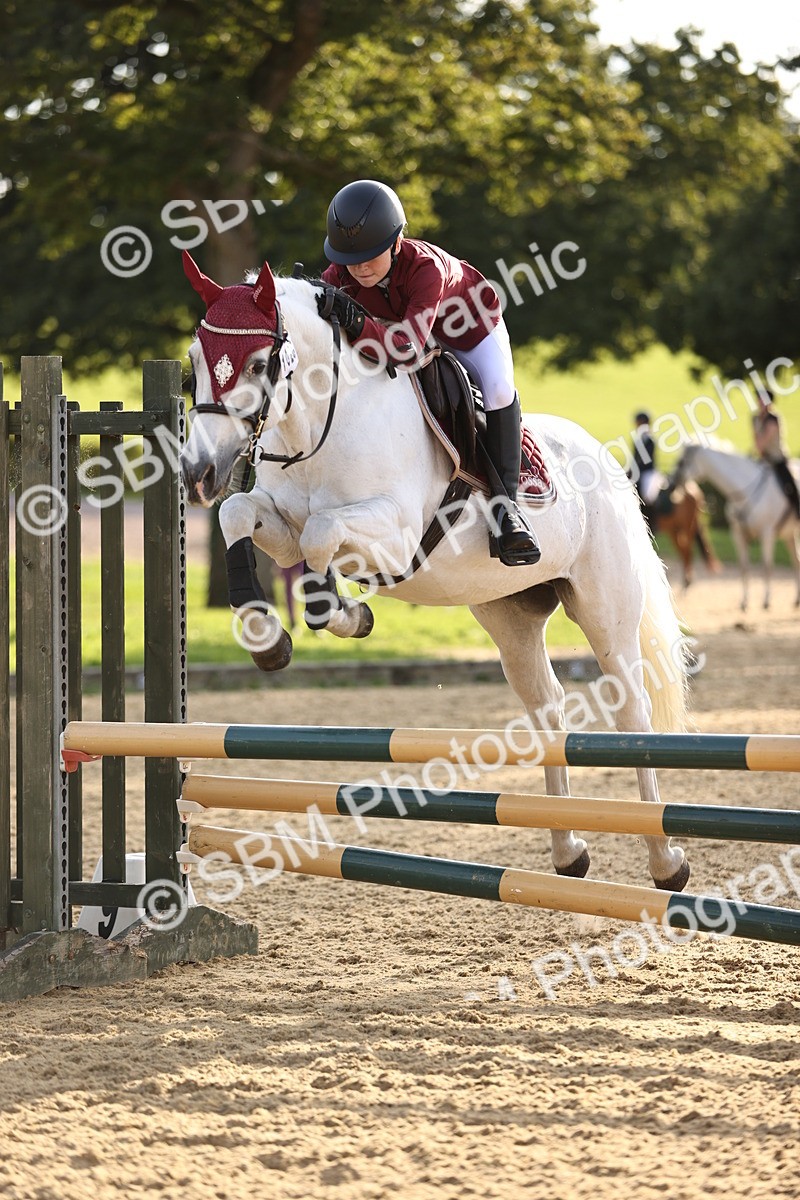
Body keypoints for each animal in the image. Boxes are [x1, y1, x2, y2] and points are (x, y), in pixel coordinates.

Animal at [178, 251, 692, 892]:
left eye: (255, 363)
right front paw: (271, 636)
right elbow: (239, 514)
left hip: (604, 608)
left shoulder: (393, 537)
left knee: (631, 708)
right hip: (509, 616)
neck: (322, 424)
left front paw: (338, 612)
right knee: (547, 707)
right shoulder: (281, 520)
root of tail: (608, 460)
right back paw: (568, 851)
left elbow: (323, 531)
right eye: (194, 361)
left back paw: (666, 862)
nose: (197, 472)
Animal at [672, 443, 800, 611]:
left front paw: (766, 600)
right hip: (789, 534)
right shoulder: (738, 534)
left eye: (681, 462)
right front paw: (744, 602)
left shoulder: (767, 533)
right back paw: (797, 600)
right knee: (796, 562)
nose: (671, 483)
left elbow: (767, 567)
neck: (745, 494)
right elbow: (744, 567)